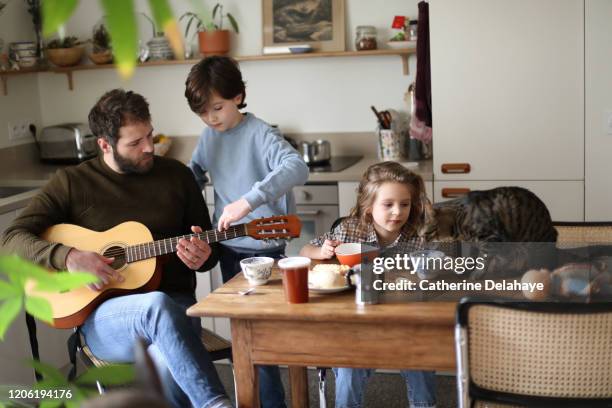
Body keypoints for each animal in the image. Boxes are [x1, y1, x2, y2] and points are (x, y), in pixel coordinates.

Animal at [420, 187, 560, 278]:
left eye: (424, 235)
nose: (421, 247)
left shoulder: (490, 238)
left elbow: (483, 260)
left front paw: (476, 275)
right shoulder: (475, 244)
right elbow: (472, 258)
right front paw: (467, 270)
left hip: (531, 244)